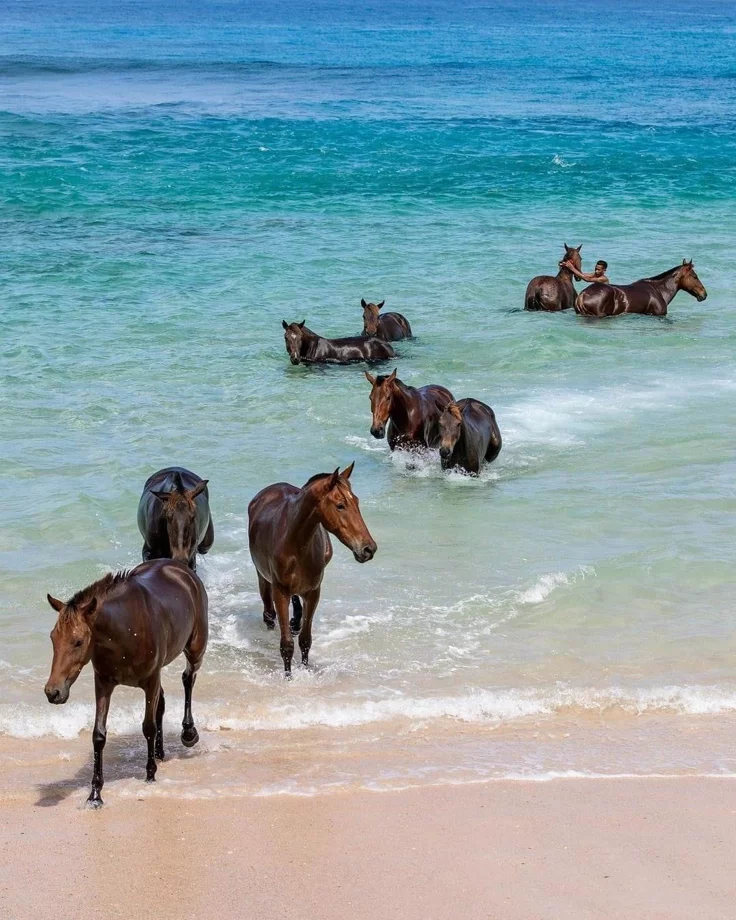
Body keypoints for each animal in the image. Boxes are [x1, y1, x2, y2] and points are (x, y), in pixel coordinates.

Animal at [44, 559, 208, 807]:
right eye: (53, 637)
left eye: (78, 641)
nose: (53, 692)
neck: (125, 630)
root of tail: (180, 567)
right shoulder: (103, 683)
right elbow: (98, 735)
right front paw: (95, 794)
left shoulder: (150, 680)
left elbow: (148, 727)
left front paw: (150, 775)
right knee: (162, 702)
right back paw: (159, 752)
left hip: (196, 648)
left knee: (188, 678)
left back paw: (188, 733)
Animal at [248, 463, 377, 676]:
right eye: (340, 505)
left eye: (357, 501)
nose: (369, 549)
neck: (295, 543)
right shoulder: (280, 592)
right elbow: (286, 644)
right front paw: (288, 677)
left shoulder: (313, 592)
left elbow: (305, 640)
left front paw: (305, 670)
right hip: (262, 577)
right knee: (269, 614)